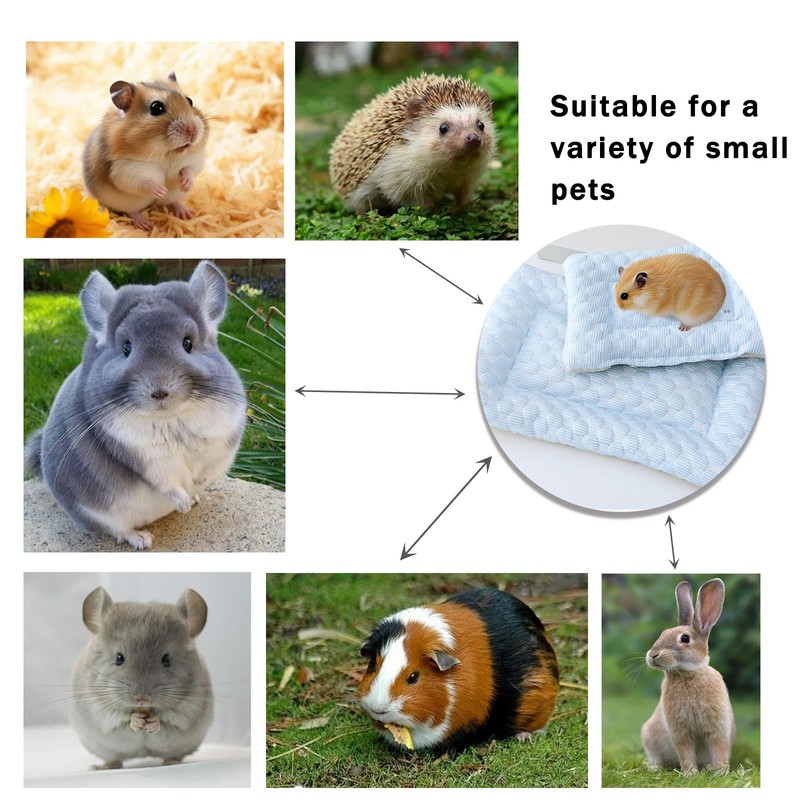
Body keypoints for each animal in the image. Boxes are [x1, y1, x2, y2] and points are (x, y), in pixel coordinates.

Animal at [23, 260, 247, 550]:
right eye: (126, 348)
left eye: (188, 343)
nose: (159, 391)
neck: (170, 418)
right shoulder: (144, 456)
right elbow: (167, 482)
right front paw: (183, 503)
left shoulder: (222, 438)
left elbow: (208, 467)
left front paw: (197, 487)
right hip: (97, 514)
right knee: (118, 530)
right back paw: (142, 538)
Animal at [71, 586, 213, 769]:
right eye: (119, 658)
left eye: (166, 659)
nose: (142, 698)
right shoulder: (100, 711)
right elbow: (120, 720)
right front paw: (136, 720)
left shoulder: (187, 711)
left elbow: (167, 721)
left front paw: (153, 723)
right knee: (114, 760)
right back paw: (99, 767)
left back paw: (171, 762)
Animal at [83, 72, 208, 231]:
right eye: (156, 108)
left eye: (189, 101)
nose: (193, 130)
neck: (166, 155)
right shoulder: (123, 169)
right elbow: (143, 182)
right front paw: (160, 190)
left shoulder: (194, 158)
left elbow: (189, 169)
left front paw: (186, 184)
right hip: (125, 202)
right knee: (132, 211)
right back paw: (145, 224)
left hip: (175, 195)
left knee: (173, 201)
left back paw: (187, 213)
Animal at [641, 578, 736, 775]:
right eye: (662, 634)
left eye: (685, 639)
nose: (653, 655)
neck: (687, 673)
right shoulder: (680, 731)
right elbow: (685, 751)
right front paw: (690, 773)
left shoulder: (718, 728)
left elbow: (719, 748)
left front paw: (721, 772)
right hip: (649, 736)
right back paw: (655, 768)